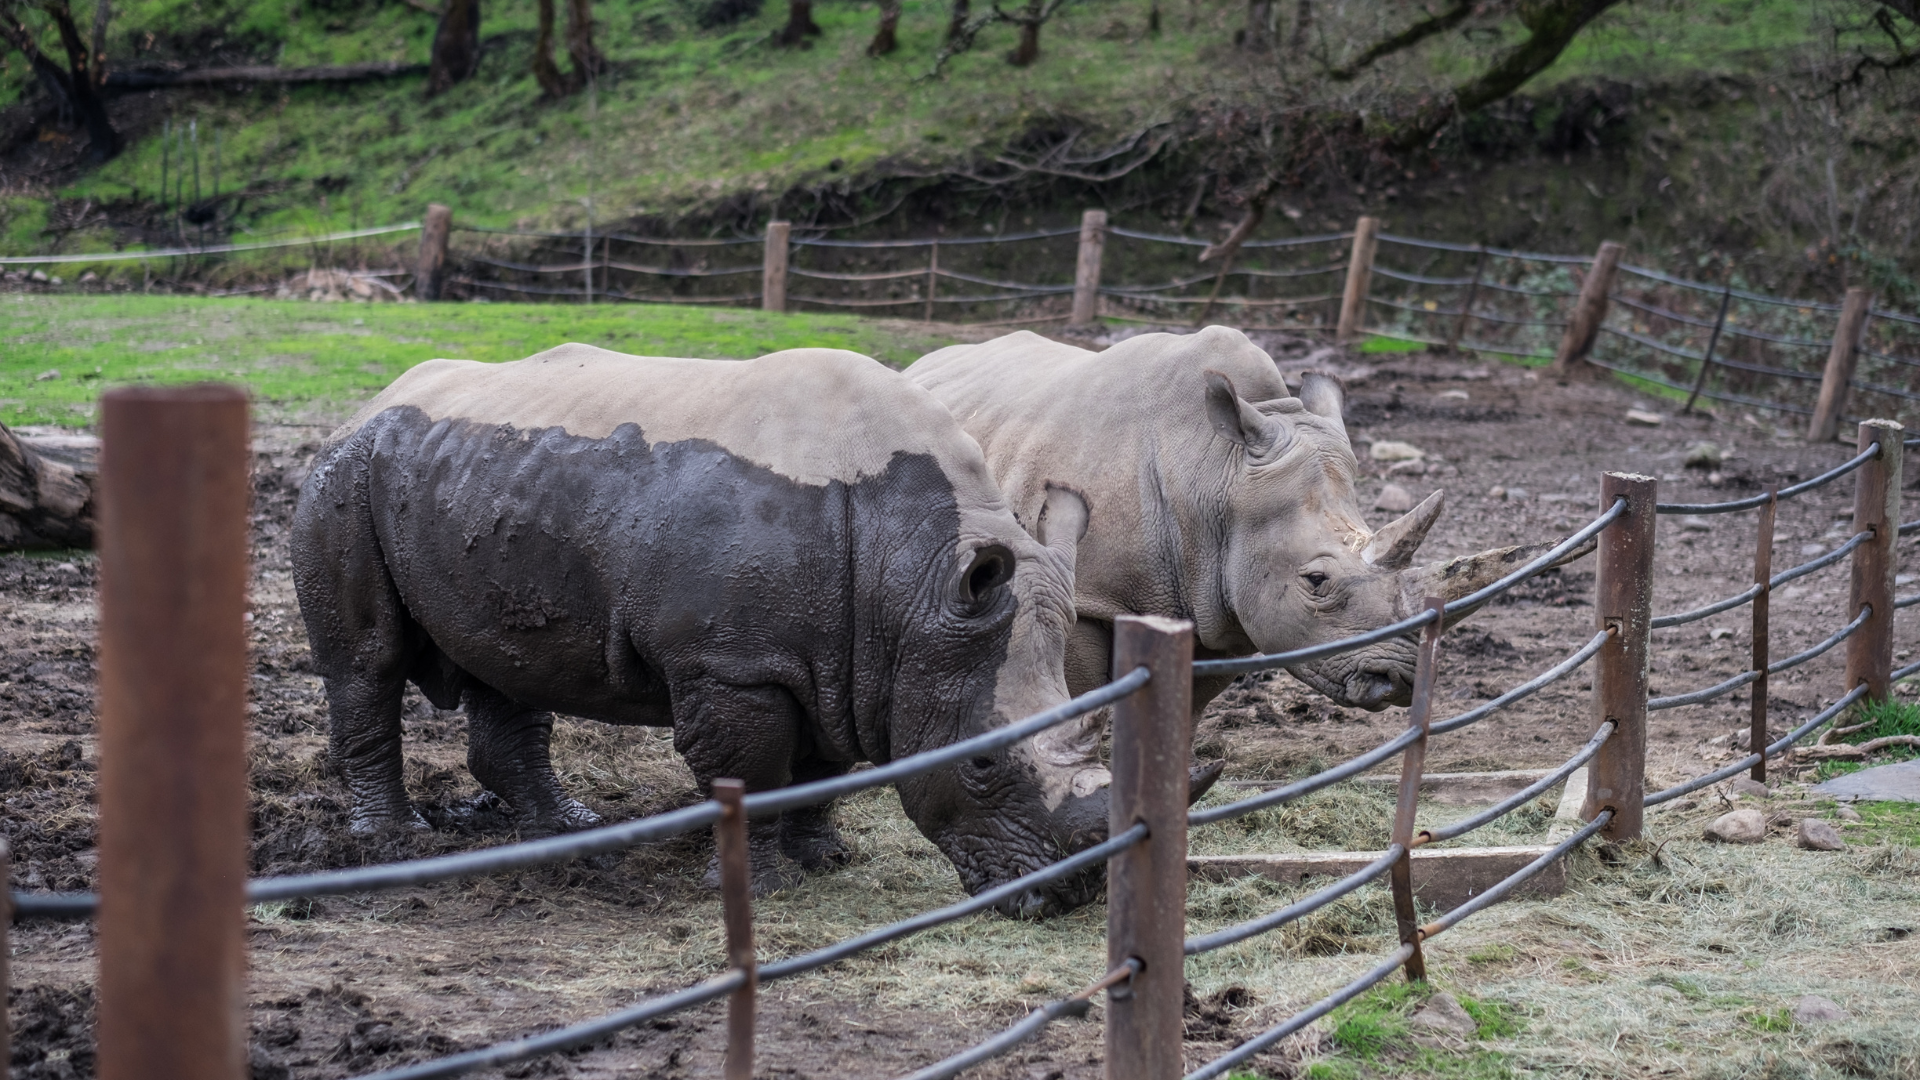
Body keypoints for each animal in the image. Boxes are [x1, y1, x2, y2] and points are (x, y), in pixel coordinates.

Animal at [292, 343, 1136, 914]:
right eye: (982, 764)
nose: (1076, 896)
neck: (915, 577)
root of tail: (374, 399)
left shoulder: (843, 656)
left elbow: (822, 764)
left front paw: (825, 858)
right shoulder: (734, 663)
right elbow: (753, 770)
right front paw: (758, 888)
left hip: (471, 481)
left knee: (507, 657)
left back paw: (570, 833)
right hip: (345, 471)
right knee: (367, 663)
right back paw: (397, 844)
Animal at [905, 327, 1570, 728]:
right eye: (1317, 581)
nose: (1400, 681)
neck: (1217, 476)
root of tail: (926, 360)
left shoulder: (1223, 613)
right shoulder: (1088, 594)